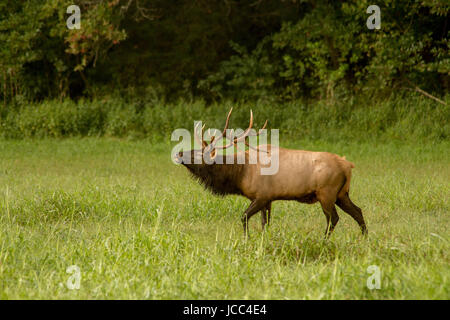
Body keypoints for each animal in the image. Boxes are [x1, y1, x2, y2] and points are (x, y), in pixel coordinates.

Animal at [174, 110, 368, 238]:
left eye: (199, 154)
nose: (179, 153)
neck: (240, 173)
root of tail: (347, 165)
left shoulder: (262, 195)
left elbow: (244, 217)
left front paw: (247, 239)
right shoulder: (268, 199)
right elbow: (264, 223)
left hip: (326, 193)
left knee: (333, 218)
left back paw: (324, 241)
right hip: (342, 194)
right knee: (358, 212)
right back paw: (365, 238)